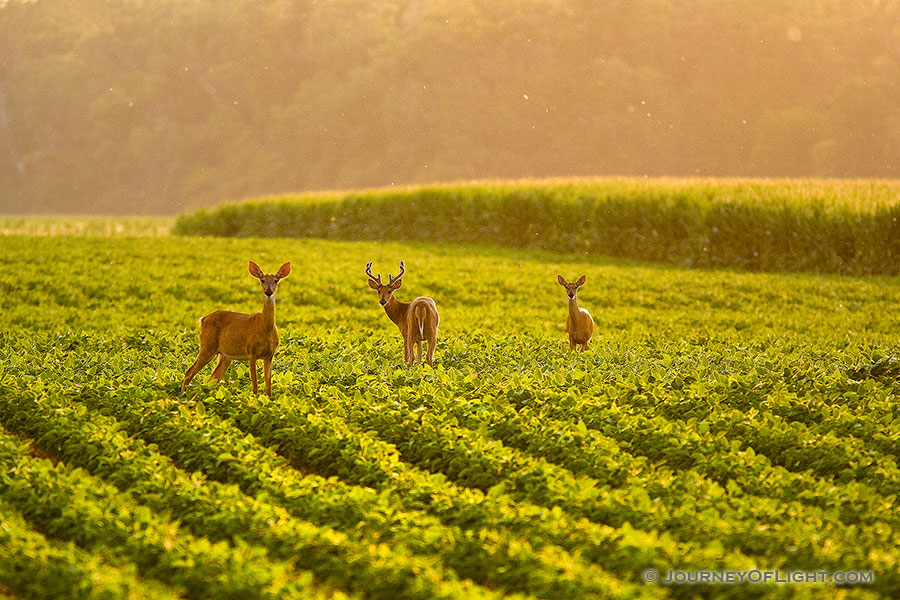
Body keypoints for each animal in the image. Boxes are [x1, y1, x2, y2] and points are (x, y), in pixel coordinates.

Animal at [183, 262, 292, 398]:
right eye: (262, 280)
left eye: (276, 280)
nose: (268, 292)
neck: (265, 328)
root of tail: (202, 319)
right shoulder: (251, 352)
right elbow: (255, 386)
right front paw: (254, 400)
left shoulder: (269, 355)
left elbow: (268, 387)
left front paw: (267, 400)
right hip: (207, 346)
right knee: (189, 372)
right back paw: (183, 395)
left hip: (224, 356)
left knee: (213, 379)